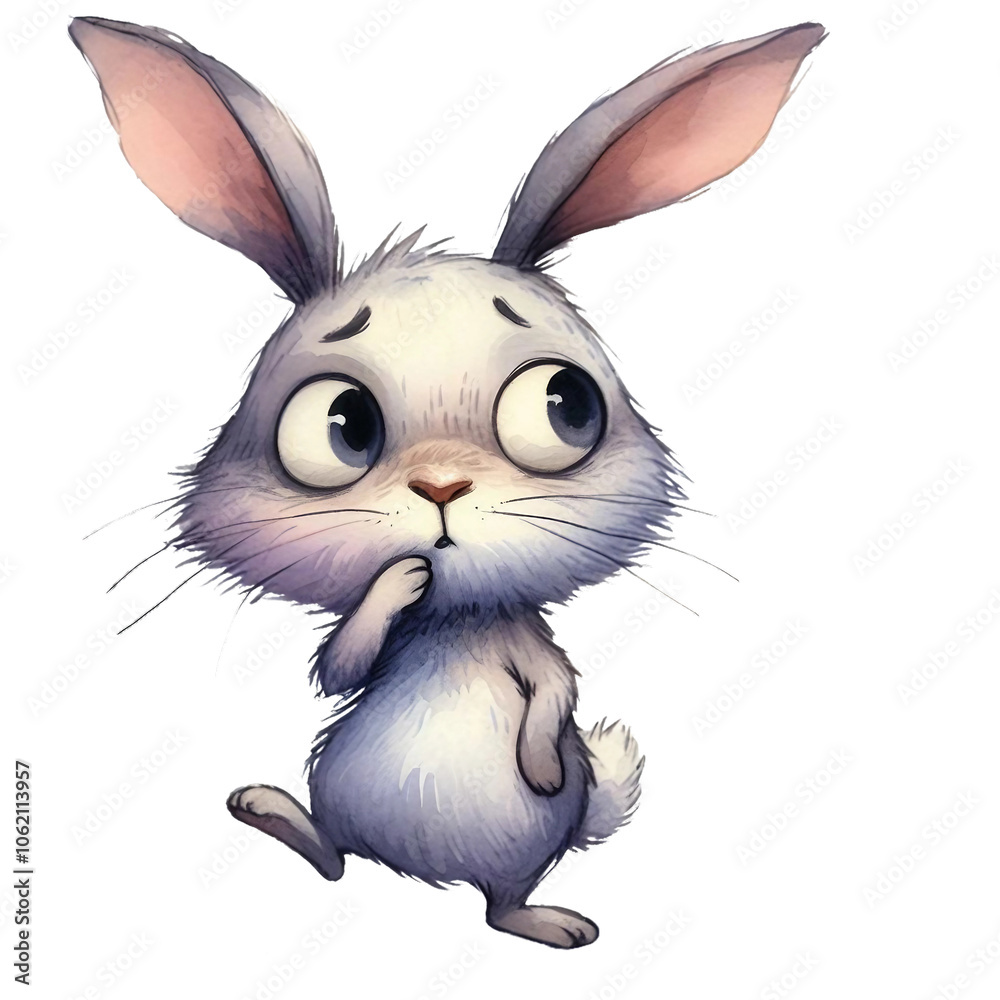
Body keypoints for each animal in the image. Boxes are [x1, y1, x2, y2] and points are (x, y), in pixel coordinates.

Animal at [70, 16, 824, 948]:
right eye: (341, 424)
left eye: (566, 404)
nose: (438, 488)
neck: (454, 625)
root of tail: (424, 870)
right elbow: (339, 667)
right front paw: (397, 580)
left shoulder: (530, 646)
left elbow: (556, 692)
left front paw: (541, 757)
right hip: (337, 789)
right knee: (333, 856)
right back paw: (272, 810)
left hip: (525, 850)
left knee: (495, 908)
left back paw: (549, 922)